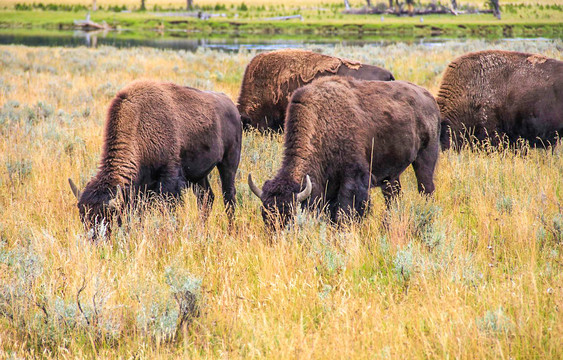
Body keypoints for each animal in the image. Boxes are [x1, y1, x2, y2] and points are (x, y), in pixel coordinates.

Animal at [67, 80, 241, 238]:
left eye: (107, 217)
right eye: (83, 217)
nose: (94, 241)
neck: (139, 125)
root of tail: (231, 106)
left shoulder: (169, 179)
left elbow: (168, 210)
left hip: (229, 162)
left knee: (229, 196)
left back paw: (231, 231)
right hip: (198, 175)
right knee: (206, 199)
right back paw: (202, 230)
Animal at [249, 76, 442, 228]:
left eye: (291, 216)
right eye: (265, 215)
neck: (323, 123)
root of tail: (429, 98)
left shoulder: (354, 177)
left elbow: (345, 210)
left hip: (425, 158)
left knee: (426, 189)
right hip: (391, 176)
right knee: (393, 197)